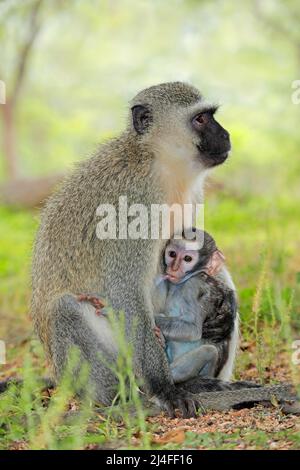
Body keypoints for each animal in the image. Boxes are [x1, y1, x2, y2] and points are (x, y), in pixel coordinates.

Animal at [152, 229, 237, 384]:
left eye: (187, 258)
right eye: (172, 254)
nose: (173, 268)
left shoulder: (192, 287)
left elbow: (192, 330)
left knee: (209, 351)